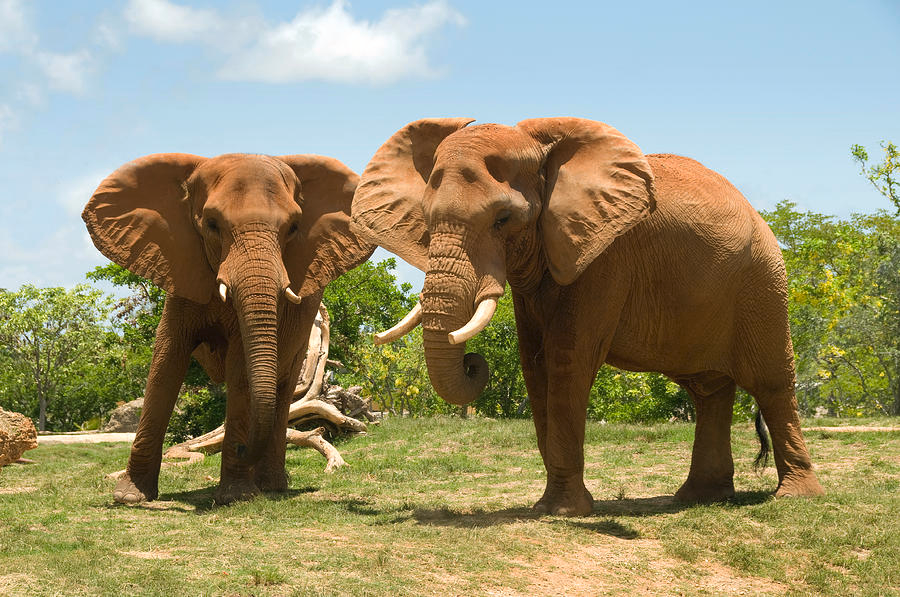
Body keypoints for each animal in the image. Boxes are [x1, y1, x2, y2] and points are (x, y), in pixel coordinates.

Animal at [82, 152, 373, 505]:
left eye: (293, 228)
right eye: (211, 224)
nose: (243, 448)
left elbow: (240, 365)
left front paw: (235, 496)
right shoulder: (182, 268)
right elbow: (166, 360)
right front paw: (130, 497)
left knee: (284, 386)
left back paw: (271, 486)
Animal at [351, 117, 824, 516]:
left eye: (503, 219)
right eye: (427, 222)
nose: (472, 361)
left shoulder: (604, 256)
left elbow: (568, 361)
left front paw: (562, 512)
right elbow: (535, 366)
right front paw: (551, 506)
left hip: (762, 281)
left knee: (771, 382)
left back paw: (795, 496)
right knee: (709, 391)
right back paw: (699, 498)